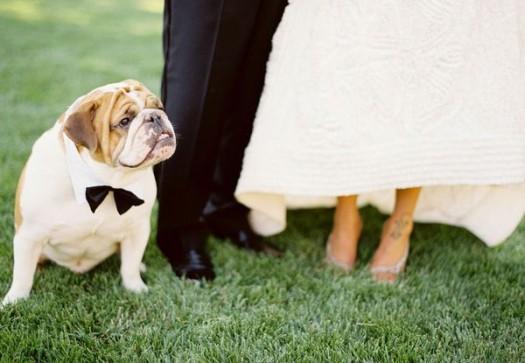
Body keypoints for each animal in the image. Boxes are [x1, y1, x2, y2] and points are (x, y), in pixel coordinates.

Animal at [1, 81, 177, 306]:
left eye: (160, 107)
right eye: (125, 121)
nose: (155, 116)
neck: (104, 182)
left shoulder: (137, 229)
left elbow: (130, 264)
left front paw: (135, 288)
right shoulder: (29, 234)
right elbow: (22, 273)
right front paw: (15, 300)